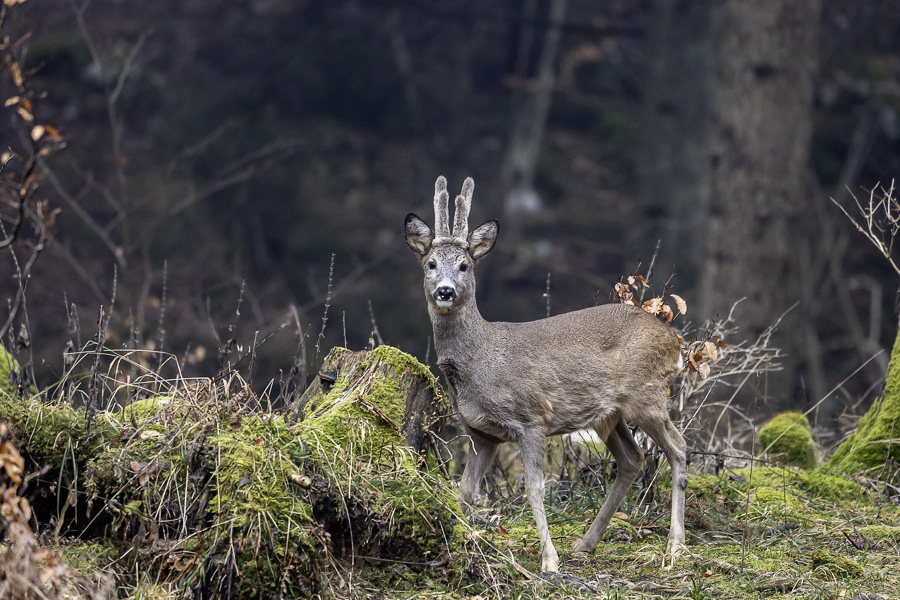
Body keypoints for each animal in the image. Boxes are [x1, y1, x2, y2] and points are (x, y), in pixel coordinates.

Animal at [404, 175, 684, 572]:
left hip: (647, 395)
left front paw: (549, 560)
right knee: (632, 460)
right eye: (430, 263)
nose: (445, 291)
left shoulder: (531, 417)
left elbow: (533, 488)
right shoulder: (480, 433)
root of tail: (674, 340)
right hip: (608, 415)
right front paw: (454, 543)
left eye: (464, 266)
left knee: (678, 448)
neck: (480, 360)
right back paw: (585, 544)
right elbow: (465, 491)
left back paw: (675, 545)